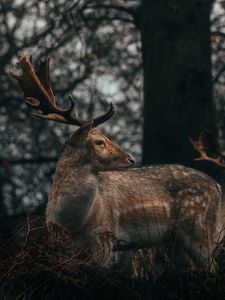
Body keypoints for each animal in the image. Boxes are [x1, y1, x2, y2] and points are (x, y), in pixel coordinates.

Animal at [11, 52, 225, 270]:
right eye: (99, 142)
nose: (130, 158)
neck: (72, 221)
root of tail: (217, 186)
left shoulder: (104, 236)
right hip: (181, 242)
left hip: (201, 231)